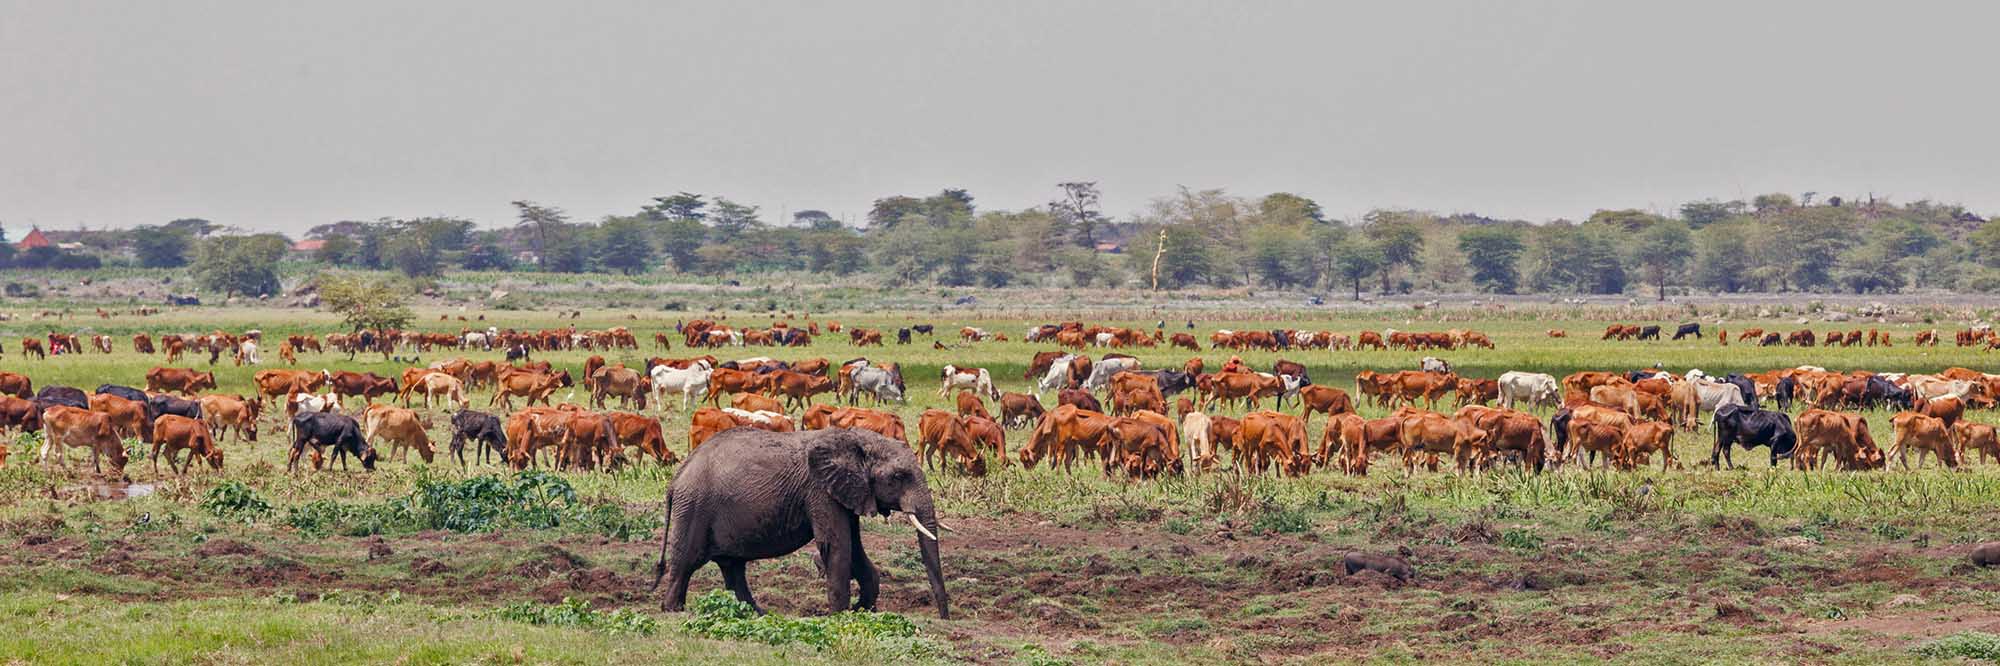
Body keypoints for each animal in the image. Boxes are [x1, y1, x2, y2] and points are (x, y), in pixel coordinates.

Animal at [653, 427, 949, 618]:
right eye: (899, 476)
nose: (943, 618)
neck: (856, 437)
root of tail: (676, 480)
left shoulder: (847, 492)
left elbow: (855, 549)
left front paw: (862, 610)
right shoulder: (820, 491)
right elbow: (837, 547)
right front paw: (840, 617)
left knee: (733, 567)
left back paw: (755, 614)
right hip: (694, 508)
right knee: (686, 562)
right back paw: (673, 611)